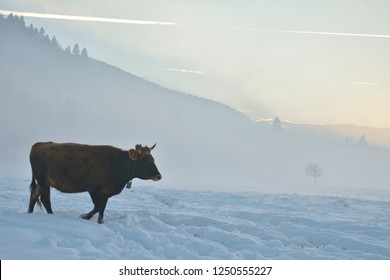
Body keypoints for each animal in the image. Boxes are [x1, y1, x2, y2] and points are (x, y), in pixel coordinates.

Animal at [27, 142, 161, 223]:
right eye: (146, 161)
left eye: (153, 159)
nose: (159, 176)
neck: (117, 164)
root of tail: (39, 144)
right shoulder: (93, 188)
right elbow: (98, 206)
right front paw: (84, 216)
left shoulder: (105, 192)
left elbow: (102, 208)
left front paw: (100, 222)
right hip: (43, 180)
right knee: (45, 199)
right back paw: (51, 215)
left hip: (42, 181)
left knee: (34, 194)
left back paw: (29, 213)